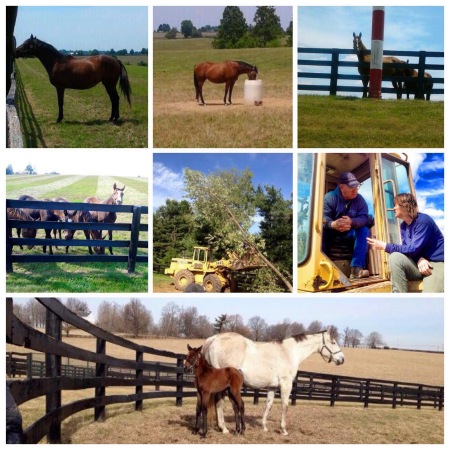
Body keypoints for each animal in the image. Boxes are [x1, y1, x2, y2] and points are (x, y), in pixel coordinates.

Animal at [203, 328, 344, 434]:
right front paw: (283, 429)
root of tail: (213, 339)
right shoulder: (286, 385)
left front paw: (264, 427)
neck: (289, 352)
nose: (342, 359)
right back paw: (224, 428)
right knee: (219, 402)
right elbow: (285, 405)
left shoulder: (272, 387)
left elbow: (268, 405)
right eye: (333, 342)